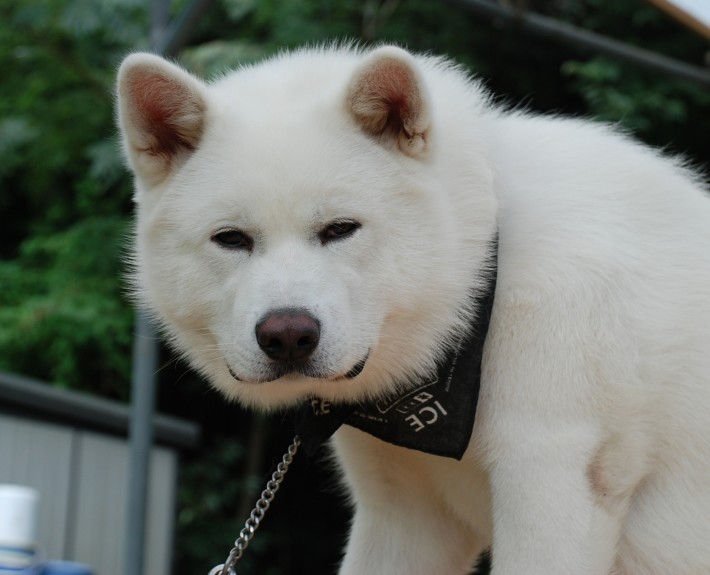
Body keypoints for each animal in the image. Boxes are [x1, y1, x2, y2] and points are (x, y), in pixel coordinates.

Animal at [117, 46, 710, 575]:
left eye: (340, 229)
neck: (486, 284)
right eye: (231, 239)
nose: (287, 336)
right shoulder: (405, 520)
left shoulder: (555, 488)